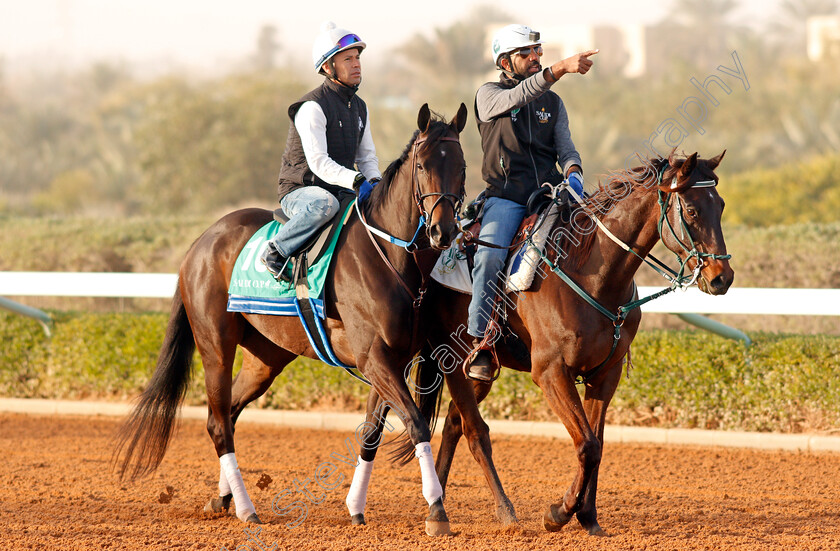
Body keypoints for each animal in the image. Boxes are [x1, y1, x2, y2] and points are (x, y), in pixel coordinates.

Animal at [115, 101, 472, 536]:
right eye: (422, 165)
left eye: (461, 165)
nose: (442, 231)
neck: (388, 254)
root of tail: (201, 242)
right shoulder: (374, 358)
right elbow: (417, 423)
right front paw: (436, 509)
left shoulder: (392, 361)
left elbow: (371, 432)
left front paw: (355, 507)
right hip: (216, 347)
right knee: (218, 423)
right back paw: (246, 509)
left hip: (266, 357)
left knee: (230, 412)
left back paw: (222, 498)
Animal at [354, 150, 736, 536]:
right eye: (692, 210)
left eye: (720, 205)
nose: (723, 278)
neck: (592, 271)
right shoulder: (551, 372)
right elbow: (587, 444)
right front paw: (559, 513)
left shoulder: (605, 375)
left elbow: (598, 444)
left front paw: (589, 517)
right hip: (436, 358)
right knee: (460, 427)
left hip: (477, 370)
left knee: (453, 424)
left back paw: (439, 503)